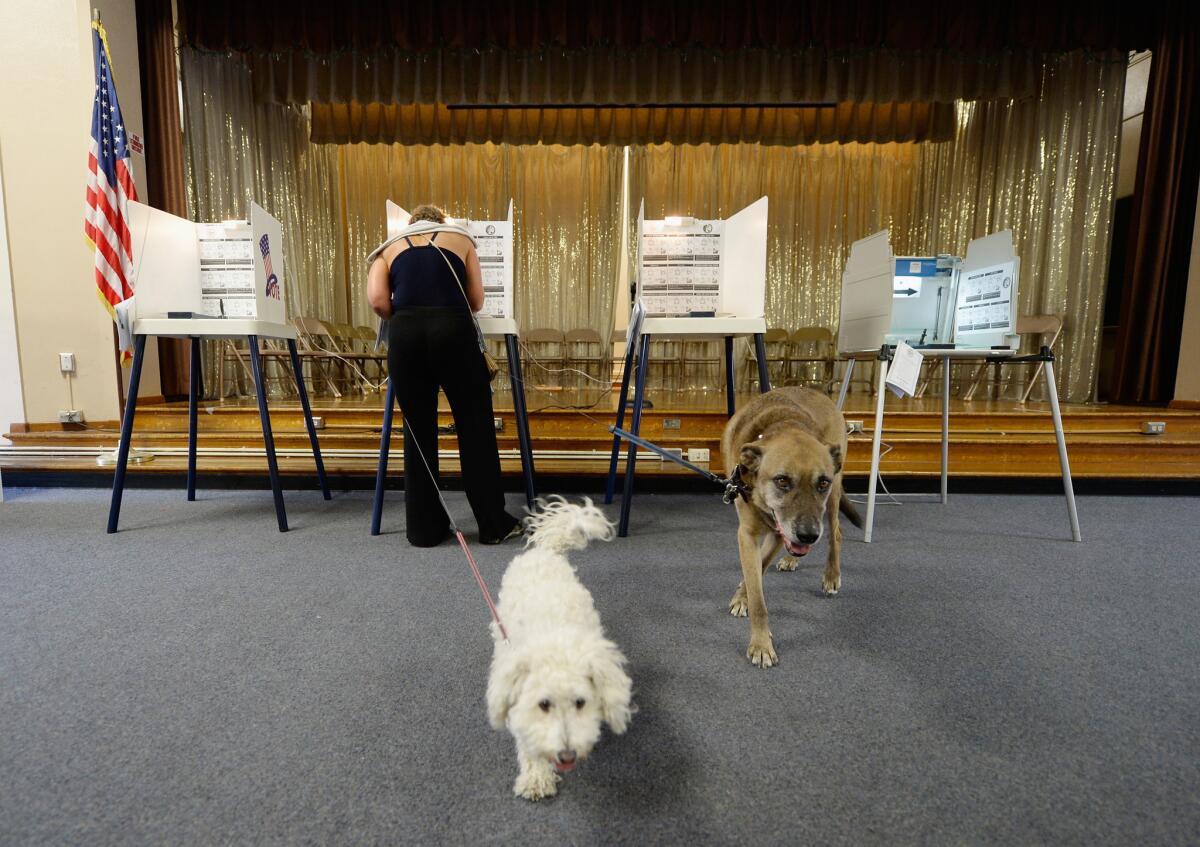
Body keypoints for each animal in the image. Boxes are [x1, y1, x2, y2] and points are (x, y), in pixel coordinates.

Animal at [482, 499, 633, 801]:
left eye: (580, 702)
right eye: (544, 704)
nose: (567, 755)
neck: (556, 640)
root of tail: (546, 550)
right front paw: (536, 777)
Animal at [720, 383, 864, 667]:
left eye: (822, 482)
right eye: (782, 480)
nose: (808, 535)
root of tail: (812, 390)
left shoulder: (779, 533)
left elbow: (760, 567)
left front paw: (759, 641)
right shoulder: (749, 534)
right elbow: (756, 588)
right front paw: (755, 626)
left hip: (833, 497)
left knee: (836, 533)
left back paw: (831, 575)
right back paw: (791, 559)